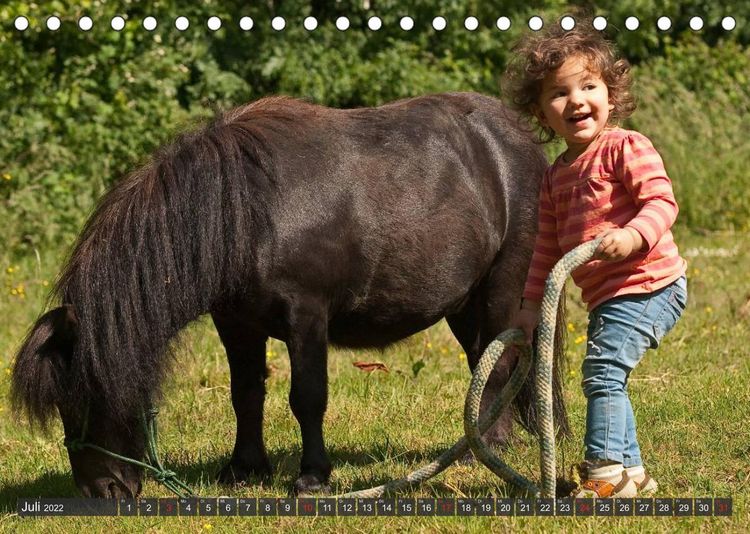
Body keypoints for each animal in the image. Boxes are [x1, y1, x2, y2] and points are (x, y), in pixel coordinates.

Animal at [11, 92, 569, 498]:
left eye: (89, 395)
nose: (102, 491)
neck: (245, 213)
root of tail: (518, 143)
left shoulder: (307, 318)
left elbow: (307, 397)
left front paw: (312, 476)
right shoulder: (235, 324)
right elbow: (245, 394)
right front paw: (243, 469)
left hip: (501, 289)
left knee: (500, 361)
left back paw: (485, 448)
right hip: (464, 304)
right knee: (487, 360)